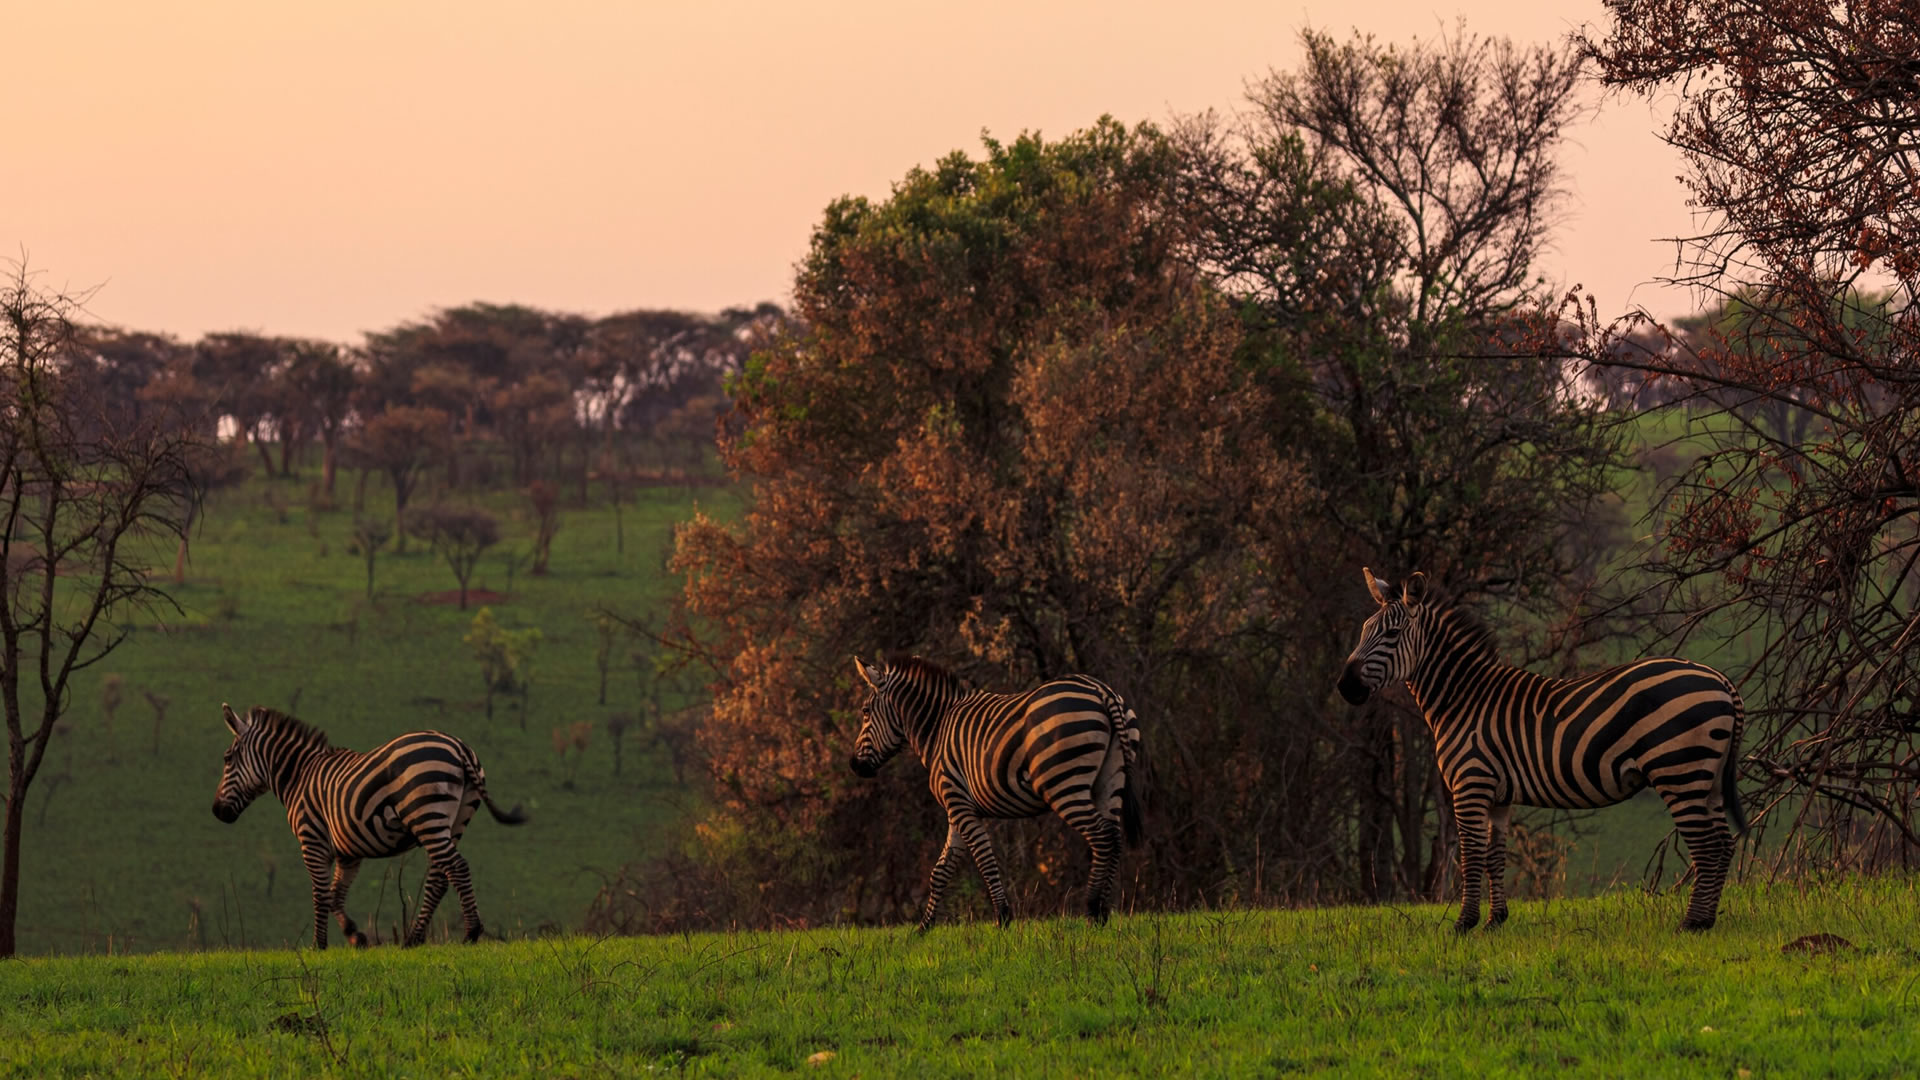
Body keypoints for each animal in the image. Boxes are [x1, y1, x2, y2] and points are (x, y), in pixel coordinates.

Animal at [210, 703, 527, 948]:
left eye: (227, 759)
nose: (216, 811)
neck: (298, 776)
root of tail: (459, 746)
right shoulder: (348, 851)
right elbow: (335, 895)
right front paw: (355, 936)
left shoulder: (312, 840)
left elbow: (320, 894)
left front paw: (318, 945)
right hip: (454, 820)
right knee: (440, 875)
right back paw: (413, 938)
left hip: (426, 814)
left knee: (456, 868)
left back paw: (471, 933)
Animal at [848, 655, 1145, 930]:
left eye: (865, 711)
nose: (854, 765)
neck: (937, 728)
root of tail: (1101, 690)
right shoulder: (956, 808)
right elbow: (941, 870)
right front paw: (923, 929)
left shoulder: (958, 803)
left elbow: (984, 859)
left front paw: (1002, 919)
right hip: (1111, 780)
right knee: (1114, 838)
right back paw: (1104, 913)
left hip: (1063, 784)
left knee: (1101, 837)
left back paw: (1093, 909)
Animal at [1336, 569, 1749, 932]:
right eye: (1365, 630)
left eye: (1392, 633)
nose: (1345, 687)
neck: (1463, 698)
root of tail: (1721, 679)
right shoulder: (1498, 795)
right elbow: (1494, 857)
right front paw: (1495, 921)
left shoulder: (1471, 784)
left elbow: (1470, 856)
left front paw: (1463, 925)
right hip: (1707, 778)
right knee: (1723, 845)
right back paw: (1706, 920)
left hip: (1679, 772)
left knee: (1707, 847)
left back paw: (1691, 924)